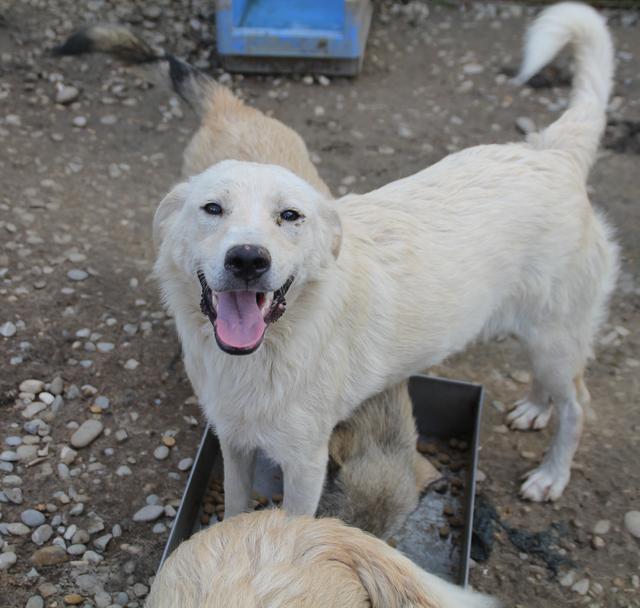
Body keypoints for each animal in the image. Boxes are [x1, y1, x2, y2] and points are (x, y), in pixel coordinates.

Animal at [149, 0, 616, 512]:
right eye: (212, 208)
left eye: (290, 216)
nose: (249, 260)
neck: (268, 350)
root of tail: (552, 153)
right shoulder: (233, 441)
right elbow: (234, 509)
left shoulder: (306, 462)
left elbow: (292, 521)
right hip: (542, 335)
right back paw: (534, 406)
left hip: (556, 337)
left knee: (579, 404)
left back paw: (552, 474)